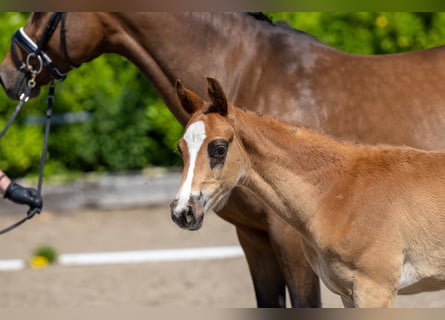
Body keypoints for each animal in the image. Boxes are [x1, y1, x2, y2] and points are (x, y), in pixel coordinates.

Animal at [170, 77, 444, 308]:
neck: (337, 193)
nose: (182, 212)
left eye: (219, 148)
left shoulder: (376, 289)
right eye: (180, 148)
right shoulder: (348, 294)